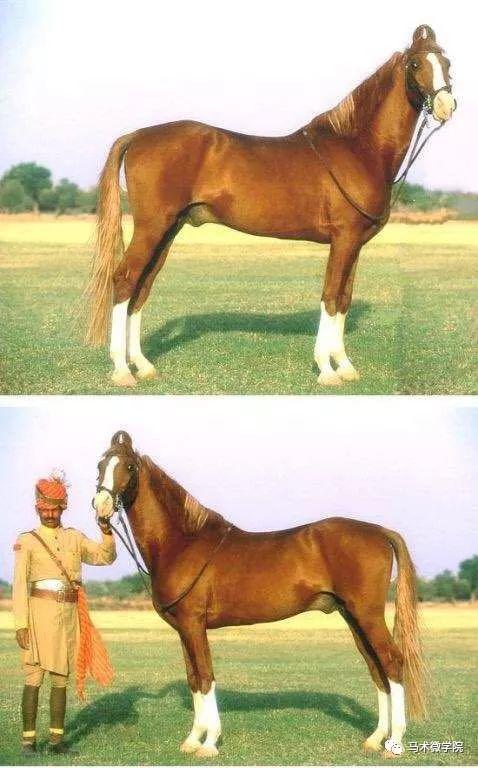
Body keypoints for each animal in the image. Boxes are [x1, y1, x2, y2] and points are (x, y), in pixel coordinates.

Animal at [85, 24, 455, 388]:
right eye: (415, 64)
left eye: (447, 63)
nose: (446, 106)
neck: (357, 149)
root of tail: (138, 136)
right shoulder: (343, 239)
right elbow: (330, 296)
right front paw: (326, 369)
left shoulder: (355, 244)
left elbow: (344, 299)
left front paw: (345, 366)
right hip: (153, 226)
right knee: (125, 280)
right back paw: (122, 370)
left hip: (168, 229)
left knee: (142, 286)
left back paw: (143, 365)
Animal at [93, 430, 427, 759]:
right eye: (100, 465)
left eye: (130, 467)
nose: (101, 506)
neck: (182, 543)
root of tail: (379, 531)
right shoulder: (183, 629)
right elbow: (193, 679)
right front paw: (192, 739)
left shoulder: (194, 624)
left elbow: (206, 677)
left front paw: (209, 743)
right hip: (353, 616)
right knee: (376, 668)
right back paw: (375, 738)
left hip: (367, 614)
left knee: (393, 662)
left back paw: (395, 742)